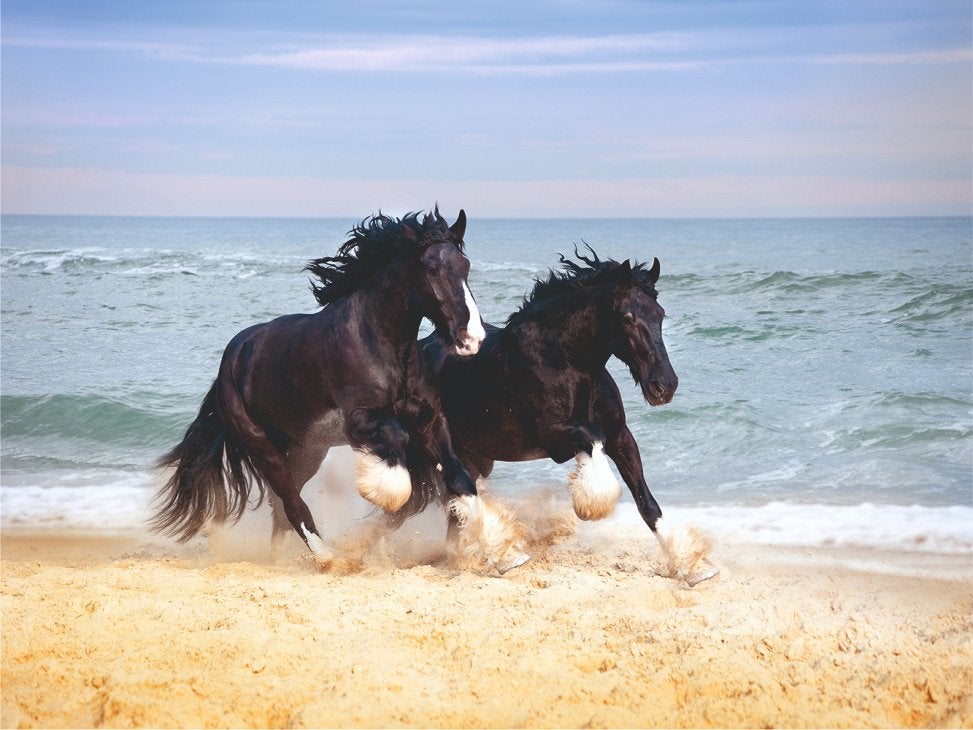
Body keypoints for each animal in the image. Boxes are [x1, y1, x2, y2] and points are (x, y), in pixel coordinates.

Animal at [152, 209, 528, 572]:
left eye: (465, 266)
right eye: (432, 269)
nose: (472, 337)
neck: (382, 343)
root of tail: (230, 362)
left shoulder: (430, 419)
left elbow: (460, 478)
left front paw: (507, 553)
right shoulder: (359, 420)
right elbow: (396, 438)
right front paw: (384, 489)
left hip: (305, 451)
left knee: (280, 505)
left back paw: (283, 558)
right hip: (263, 447)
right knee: (292, 503)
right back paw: (329, 558)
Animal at [394, 246, 717, 585]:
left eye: (660, 314)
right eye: (628, 317)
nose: (664, 386)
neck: (565, 359)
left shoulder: (621, 436)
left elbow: (647, 503)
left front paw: (692, 567)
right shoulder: (554, 436)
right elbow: (592, 436)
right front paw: (592, 503)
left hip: (474, 460)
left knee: (456, 512)